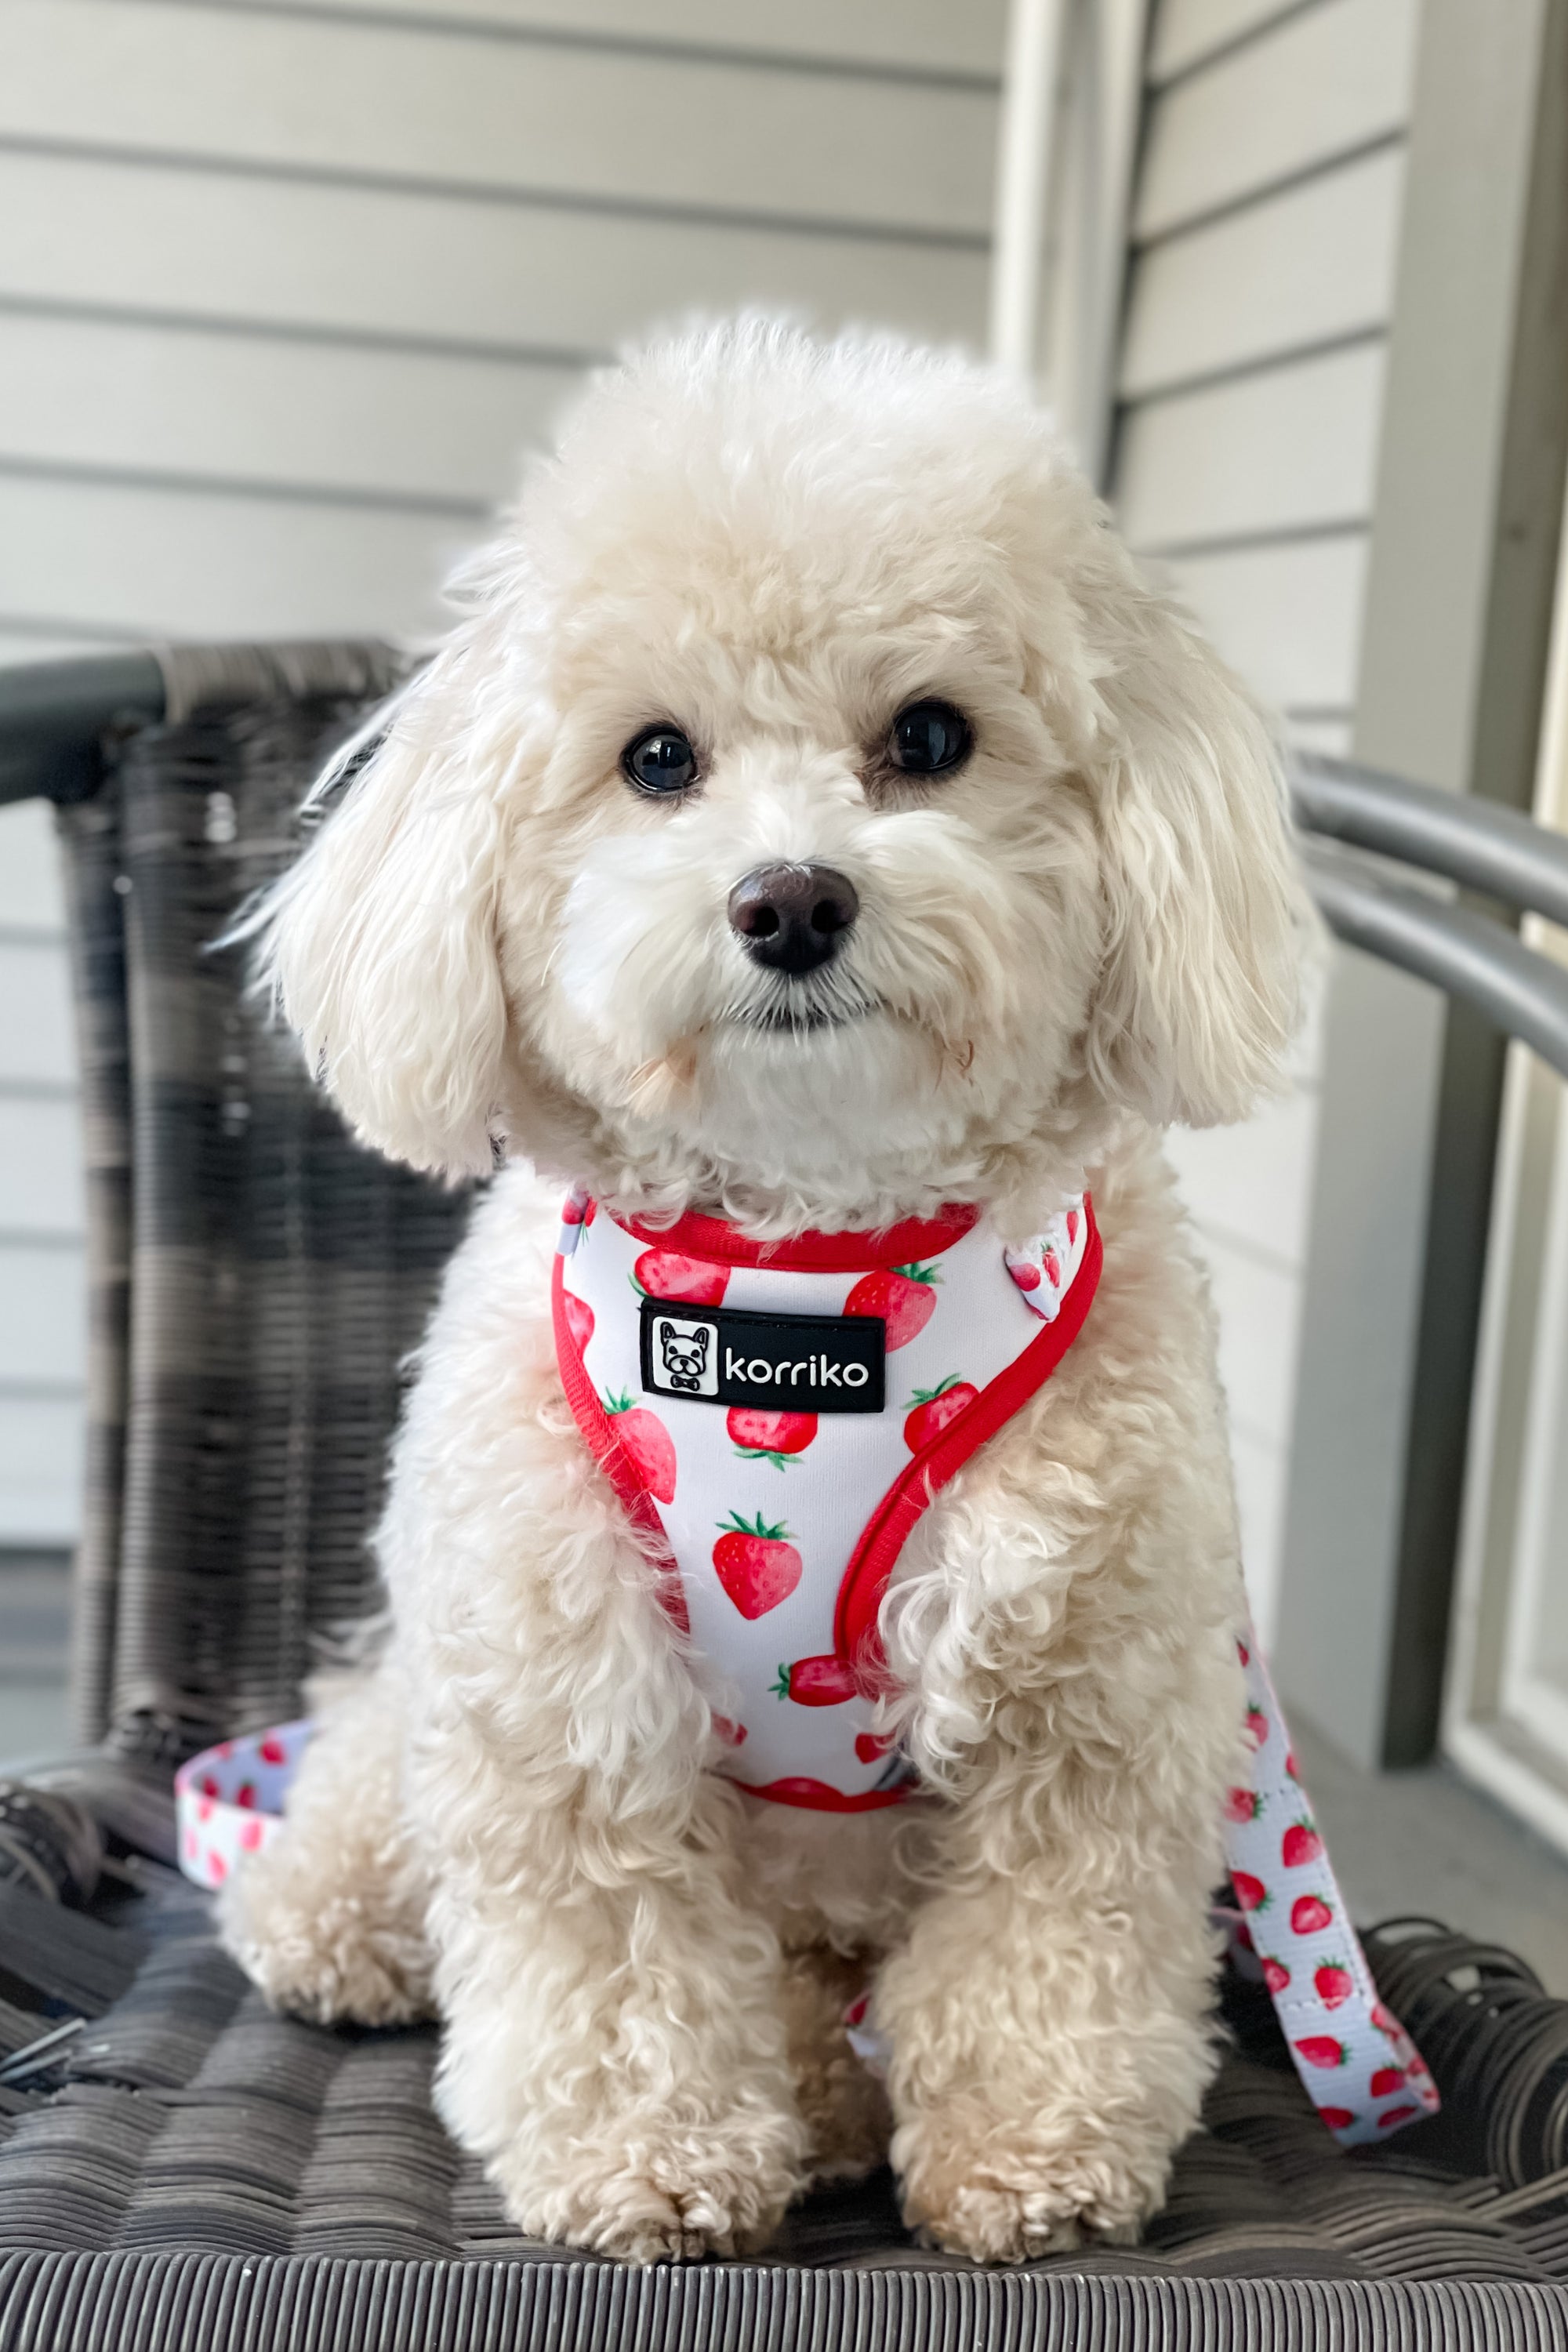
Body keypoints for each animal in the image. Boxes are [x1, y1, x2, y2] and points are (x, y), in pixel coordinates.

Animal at [223, 322, 1316, 2267]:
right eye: (657, 758)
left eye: (930, 737)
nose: (792, 899)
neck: (803, 1276)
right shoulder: (558, 1694)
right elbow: (615, 1949)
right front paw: (646, 2161)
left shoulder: (1092, 1687)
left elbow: (1049, 1937)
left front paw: (1031, 2156)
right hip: (429, 1715)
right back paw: (346, 1932)